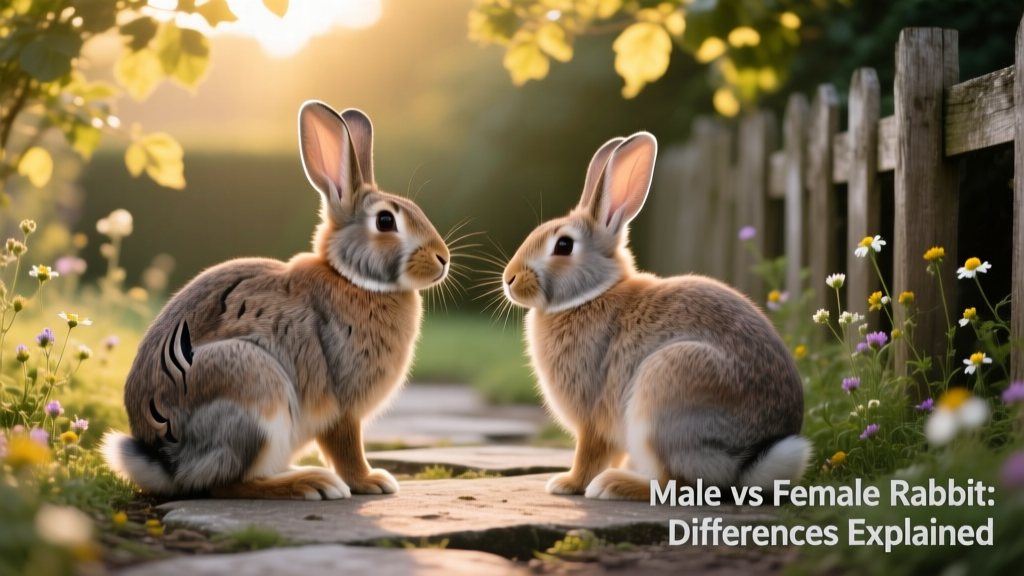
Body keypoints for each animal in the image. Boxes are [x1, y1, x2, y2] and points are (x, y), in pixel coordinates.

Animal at [101, 101, 450, 500]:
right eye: (386, 221)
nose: (443, 258)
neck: (350, 278)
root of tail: (163, 459)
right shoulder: (341, 406)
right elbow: (346, 448)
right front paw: (371, 481)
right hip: (254, 390)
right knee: (225, 483)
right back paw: (310, 483)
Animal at [501, 132, 811, 500]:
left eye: (563, 246)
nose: (509, 279)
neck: (590, 295)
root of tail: (747, 462)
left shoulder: (592, 417)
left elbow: (589, 454)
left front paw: (567, 484)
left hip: (666, 392)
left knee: (676, 483)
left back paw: (612, 485)